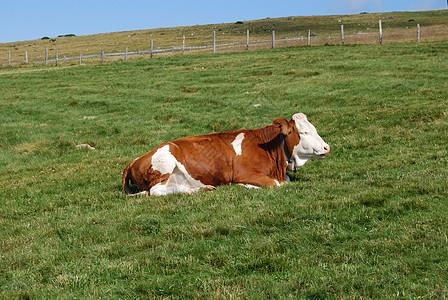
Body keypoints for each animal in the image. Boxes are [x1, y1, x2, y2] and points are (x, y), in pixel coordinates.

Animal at [122, 113, 328, 196]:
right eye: (304, 132)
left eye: (314, 128)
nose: (327, 147)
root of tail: (134, 160)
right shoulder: (243, 173)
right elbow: (276, 184)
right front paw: (245, 186)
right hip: (165, 164)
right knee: (155, 191)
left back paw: (201, 188)